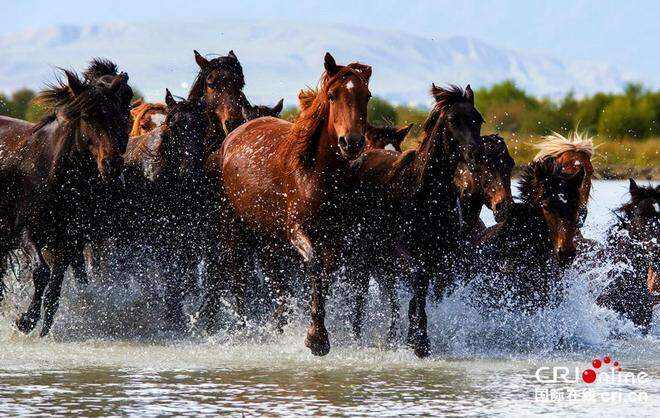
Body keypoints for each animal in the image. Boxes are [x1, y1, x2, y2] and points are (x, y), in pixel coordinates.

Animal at [0, 69, 129, 335]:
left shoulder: (68, 241)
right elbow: (41, 272)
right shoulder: (26, 232)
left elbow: (54, 290)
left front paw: (43, 330)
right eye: (88, 117)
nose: (112, 165)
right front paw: (25, 321)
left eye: (118, 115)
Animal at [205, 53, 372, 356]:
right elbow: (314, 266)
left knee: (275, 281)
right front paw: (316, 338)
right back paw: (243, 329)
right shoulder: (296, 231)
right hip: (234, 227)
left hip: (268, 237)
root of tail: (232, 135)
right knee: (237, 275)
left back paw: (278, 323)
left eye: (366, 96)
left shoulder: (335, 236)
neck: (315, 173)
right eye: (332, 95)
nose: (351, 143)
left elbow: (325, 275)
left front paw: (313, 331)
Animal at [345, 84, 484, 356]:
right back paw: (358, 335)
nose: (475, 155)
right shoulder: (405, 254)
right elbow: (416, 287)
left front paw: (417, 338)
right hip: (365, 255)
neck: (425, 195)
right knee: (363, 294)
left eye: (478, 119)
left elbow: (425, 294)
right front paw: (419, 342)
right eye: (453, 120)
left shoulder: (440, 258)